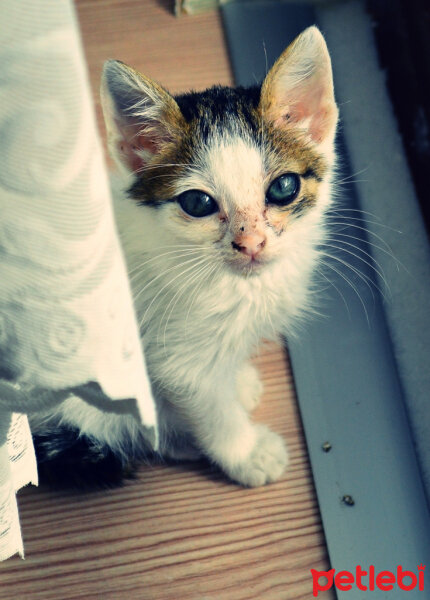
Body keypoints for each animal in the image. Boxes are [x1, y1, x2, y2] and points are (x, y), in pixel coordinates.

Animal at [31, 25, 340, 490]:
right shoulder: (174, 357)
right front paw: (246, 453)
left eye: (283, 188)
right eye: (197, 203)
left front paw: (238, 381)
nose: (251, 243)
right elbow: (208, 405)